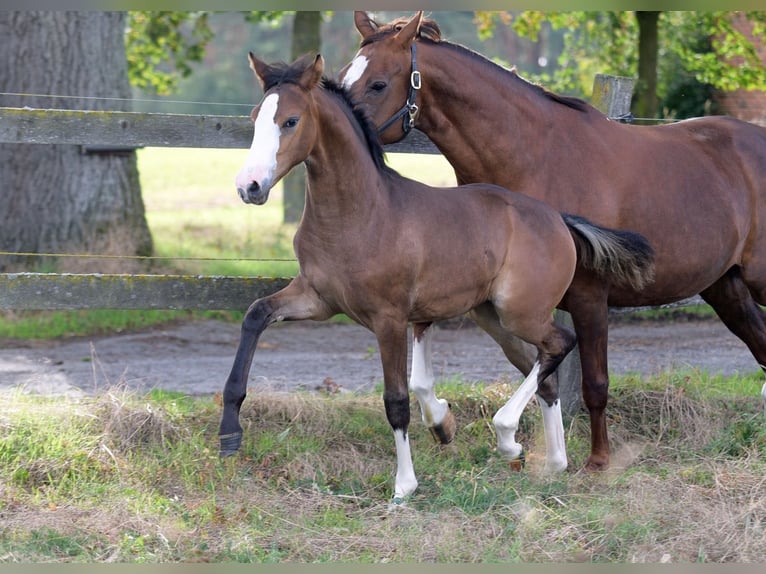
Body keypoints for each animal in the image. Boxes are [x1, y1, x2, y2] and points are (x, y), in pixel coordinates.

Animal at [222, 51, 654, 502]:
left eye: (291, 120)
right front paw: (229, 434)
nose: (249, 186)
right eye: (255, 117)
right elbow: (255, 314)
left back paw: (508, 437)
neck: (360, 213)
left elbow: (396, 400)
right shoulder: (317, 298)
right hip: (492, 317)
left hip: (521, 312)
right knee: (545, 373)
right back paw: (551, 461)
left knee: (560, 344)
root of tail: (559, 218)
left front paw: (404, 487)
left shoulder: (389, 318)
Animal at [340, 10, 766, 472]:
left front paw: (597, 462)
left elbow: (592, 381)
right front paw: (456, 426)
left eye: (378, 84)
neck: (534, 158)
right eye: (344, 76)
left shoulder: (589, 295)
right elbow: (530, 367)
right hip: (725, 286)